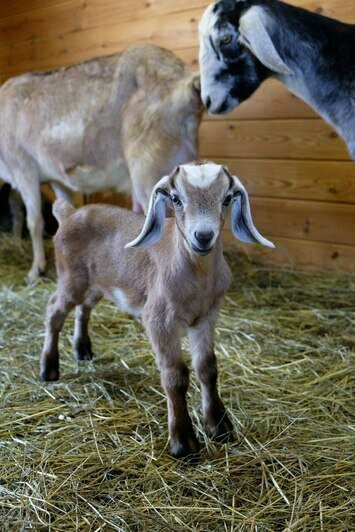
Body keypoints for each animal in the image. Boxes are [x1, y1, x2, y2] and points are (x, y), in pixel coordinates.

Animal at [41, 161, 276, 458]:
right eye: (176, 198)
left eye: (227, 198)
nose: (203, 236)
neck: (195, 276)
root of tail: (69, 213)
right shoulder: (160, 319)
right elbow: (175, 375)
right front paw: (183, 442)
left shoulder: (207, 315)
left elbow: (207, 367)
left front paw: (221, 426)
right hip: (70, 278)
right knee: (54, 310)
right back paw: (49, 368)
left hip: (96, 284)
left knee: (84, 308)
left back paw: (82, 350)